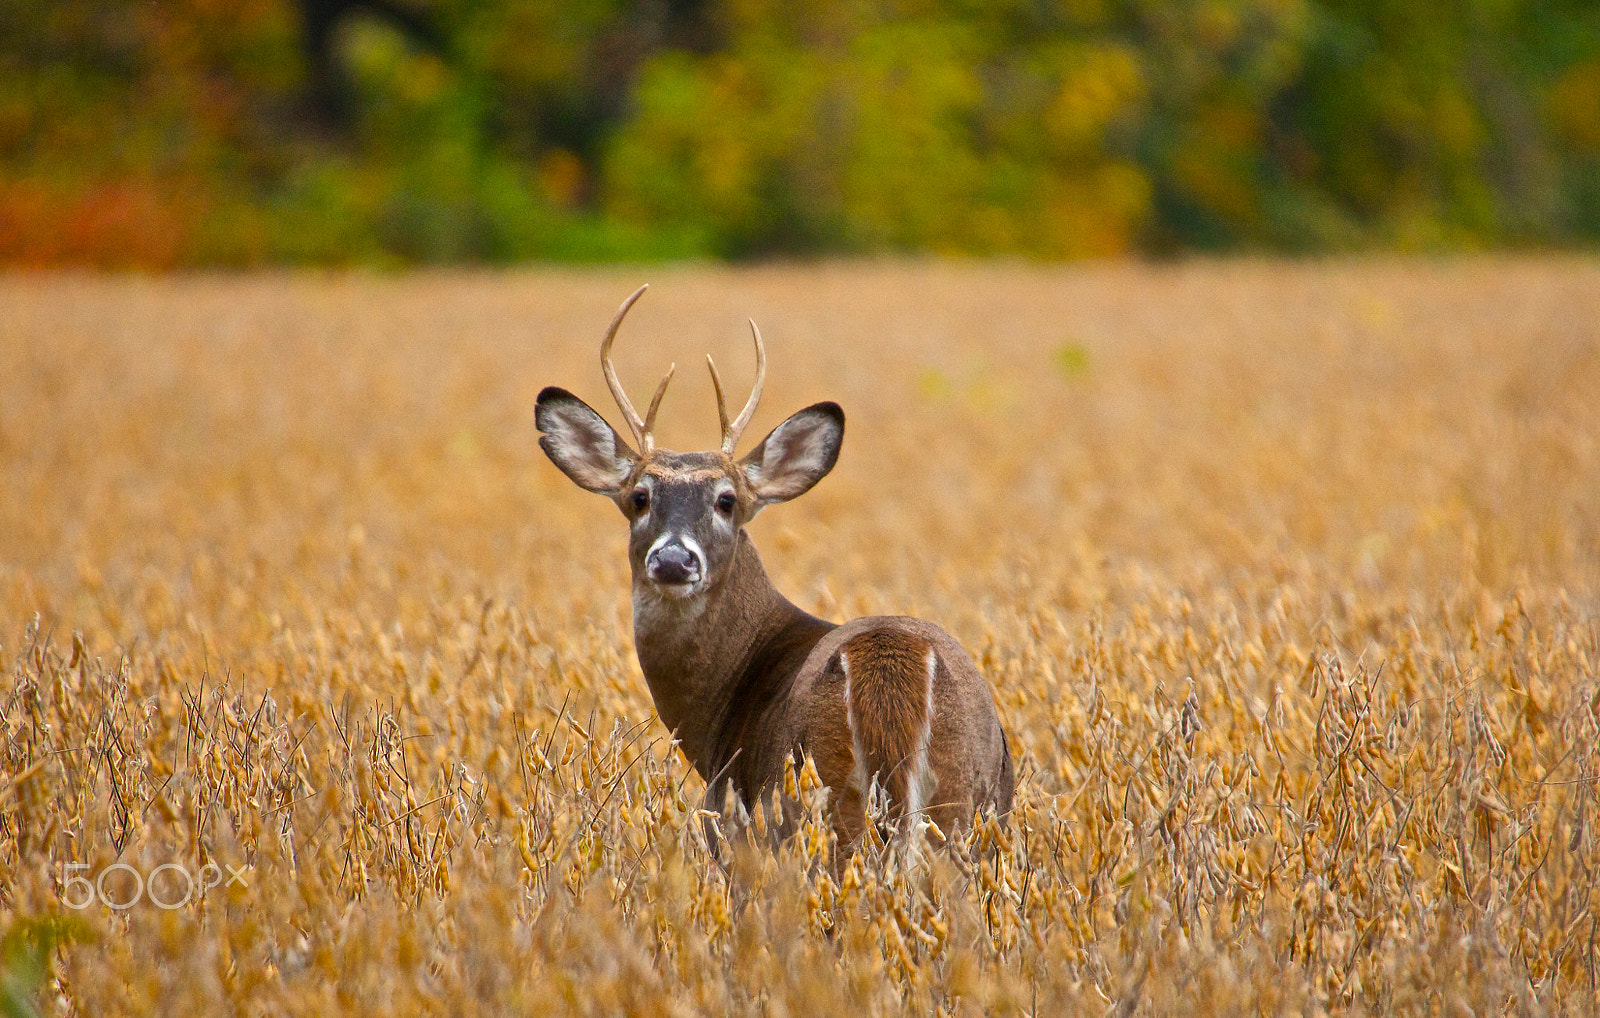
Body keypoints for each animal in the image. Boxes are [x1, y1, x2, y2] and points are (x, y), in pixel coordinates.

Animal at [534, 286, 1013, 854]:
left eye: (727, 500)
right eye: (639, 497)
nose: (673, 559)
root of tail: (892, 663)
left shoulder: (731, 827)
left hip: (818, 800)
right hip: (968, 805)